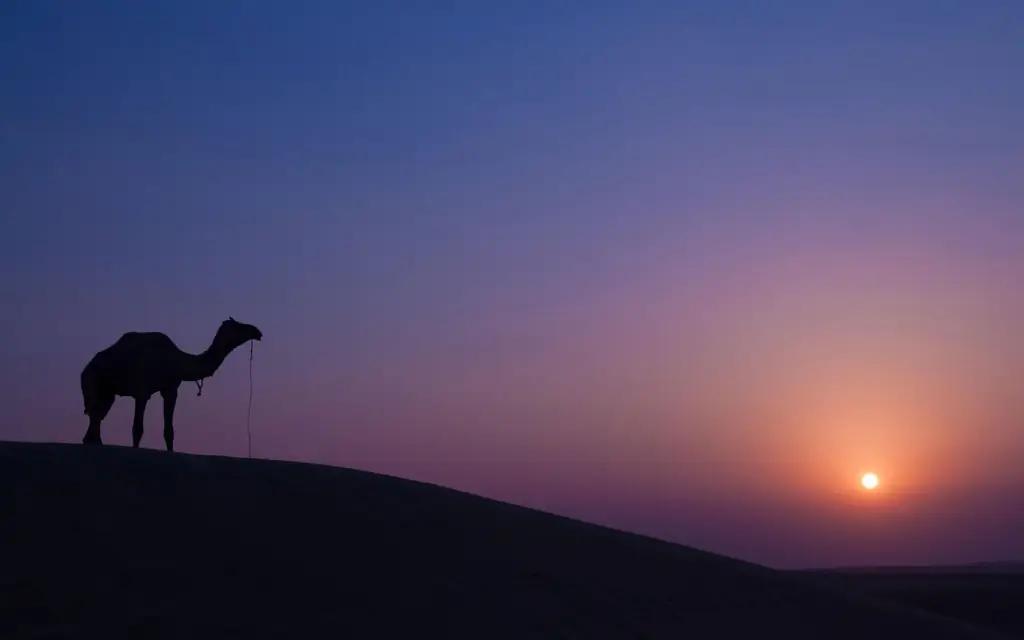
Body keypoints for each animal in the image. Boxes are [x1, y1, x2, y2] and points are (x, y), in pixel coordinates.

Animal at [80, 317, 263, 451]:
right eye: (238, 325)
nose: (257, 331)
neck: (178, 360)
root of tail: (86, 367)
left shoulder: (170, 389)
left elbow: (169, 431)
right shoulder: (142, 391)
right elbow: (137, 428)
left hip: (107, 391)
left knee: (97, 414)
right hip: (92, 379)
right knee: (95, 412)